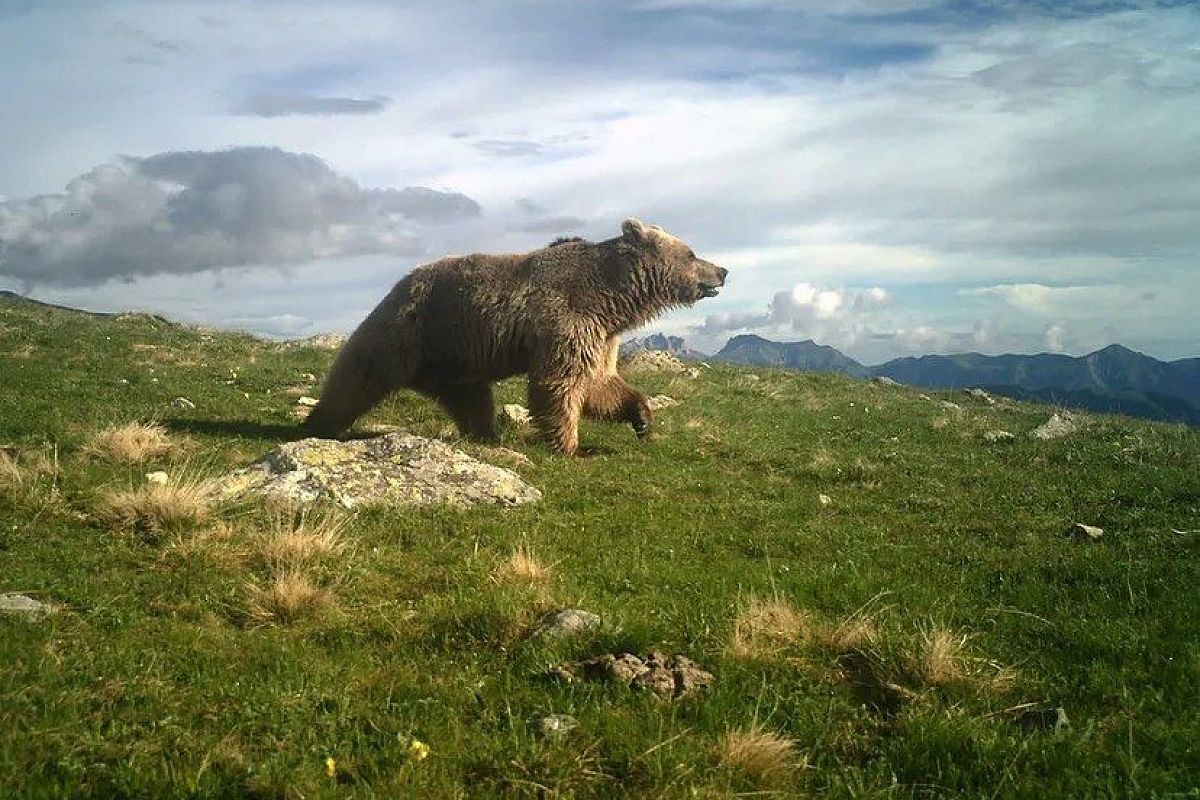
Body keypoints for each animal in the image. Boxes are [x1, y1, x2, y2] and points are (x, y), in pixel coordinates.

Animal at [300, 219, 729, 455]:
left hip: (457, 360)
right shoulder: (566, 319)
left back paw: (485, 434)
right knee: (361, 372)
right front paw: (571, 445)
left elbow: (599, 382)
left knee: (473, 400)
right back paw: (318, 422)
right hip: (409, 328)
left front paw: (642, 418)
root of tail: (401, 282)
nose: (723, 271)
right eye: (692, 253)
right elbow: (559, 383)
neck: (612, 300)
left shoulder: (602, 335)